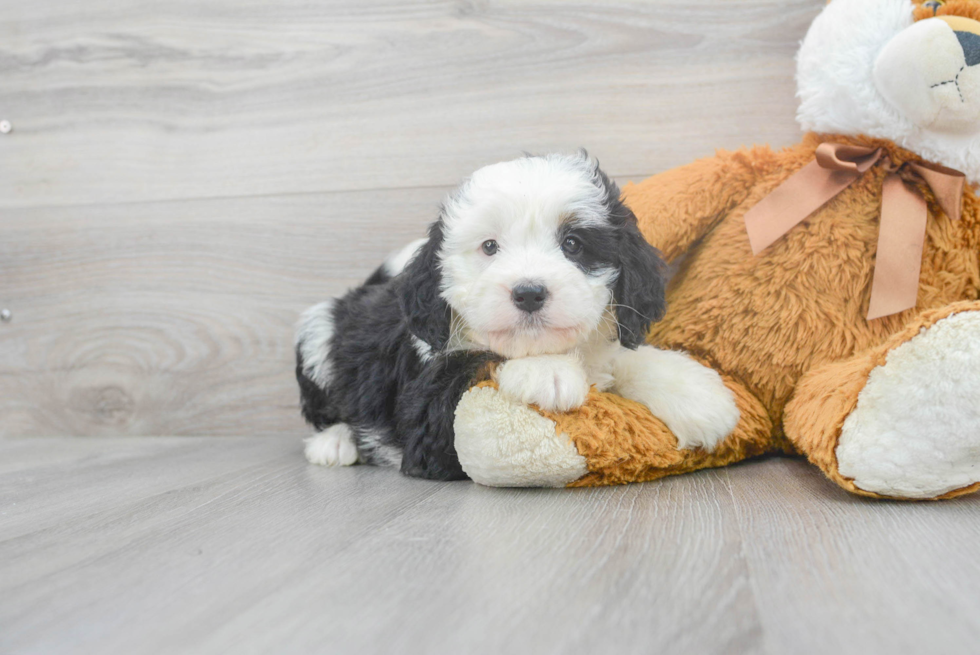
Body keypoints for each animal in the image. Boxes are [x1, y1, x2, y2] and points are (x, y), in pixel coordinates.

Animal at [294, 154, 740, 482]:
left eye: (573, 244)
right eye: (490, 246)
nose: (529, 293)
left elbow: (622, 357)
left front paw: (696, 394)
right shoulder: (426, 419)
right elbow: (484, 356)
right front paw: (547, 372)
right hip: (318, 333)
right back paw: (335, 443)